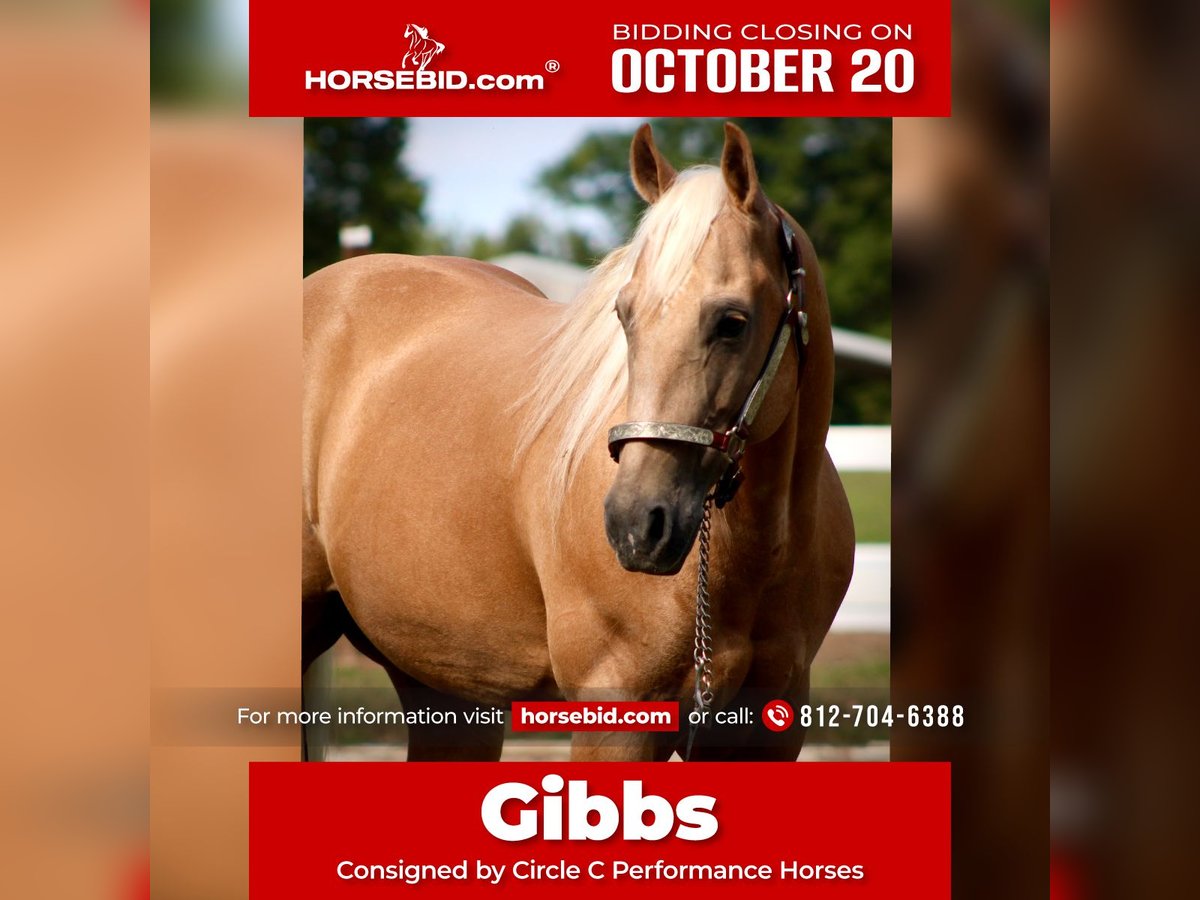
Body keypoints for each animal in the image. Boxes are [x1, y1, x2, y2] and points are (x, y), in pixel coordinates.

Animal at [302, 123, 855, 761]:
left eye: (733, 322)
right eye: (624, 314)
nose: (635, 524)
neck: (755, 558)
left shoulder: (766, 729)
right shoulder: (617, 711)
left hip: (448, 689)